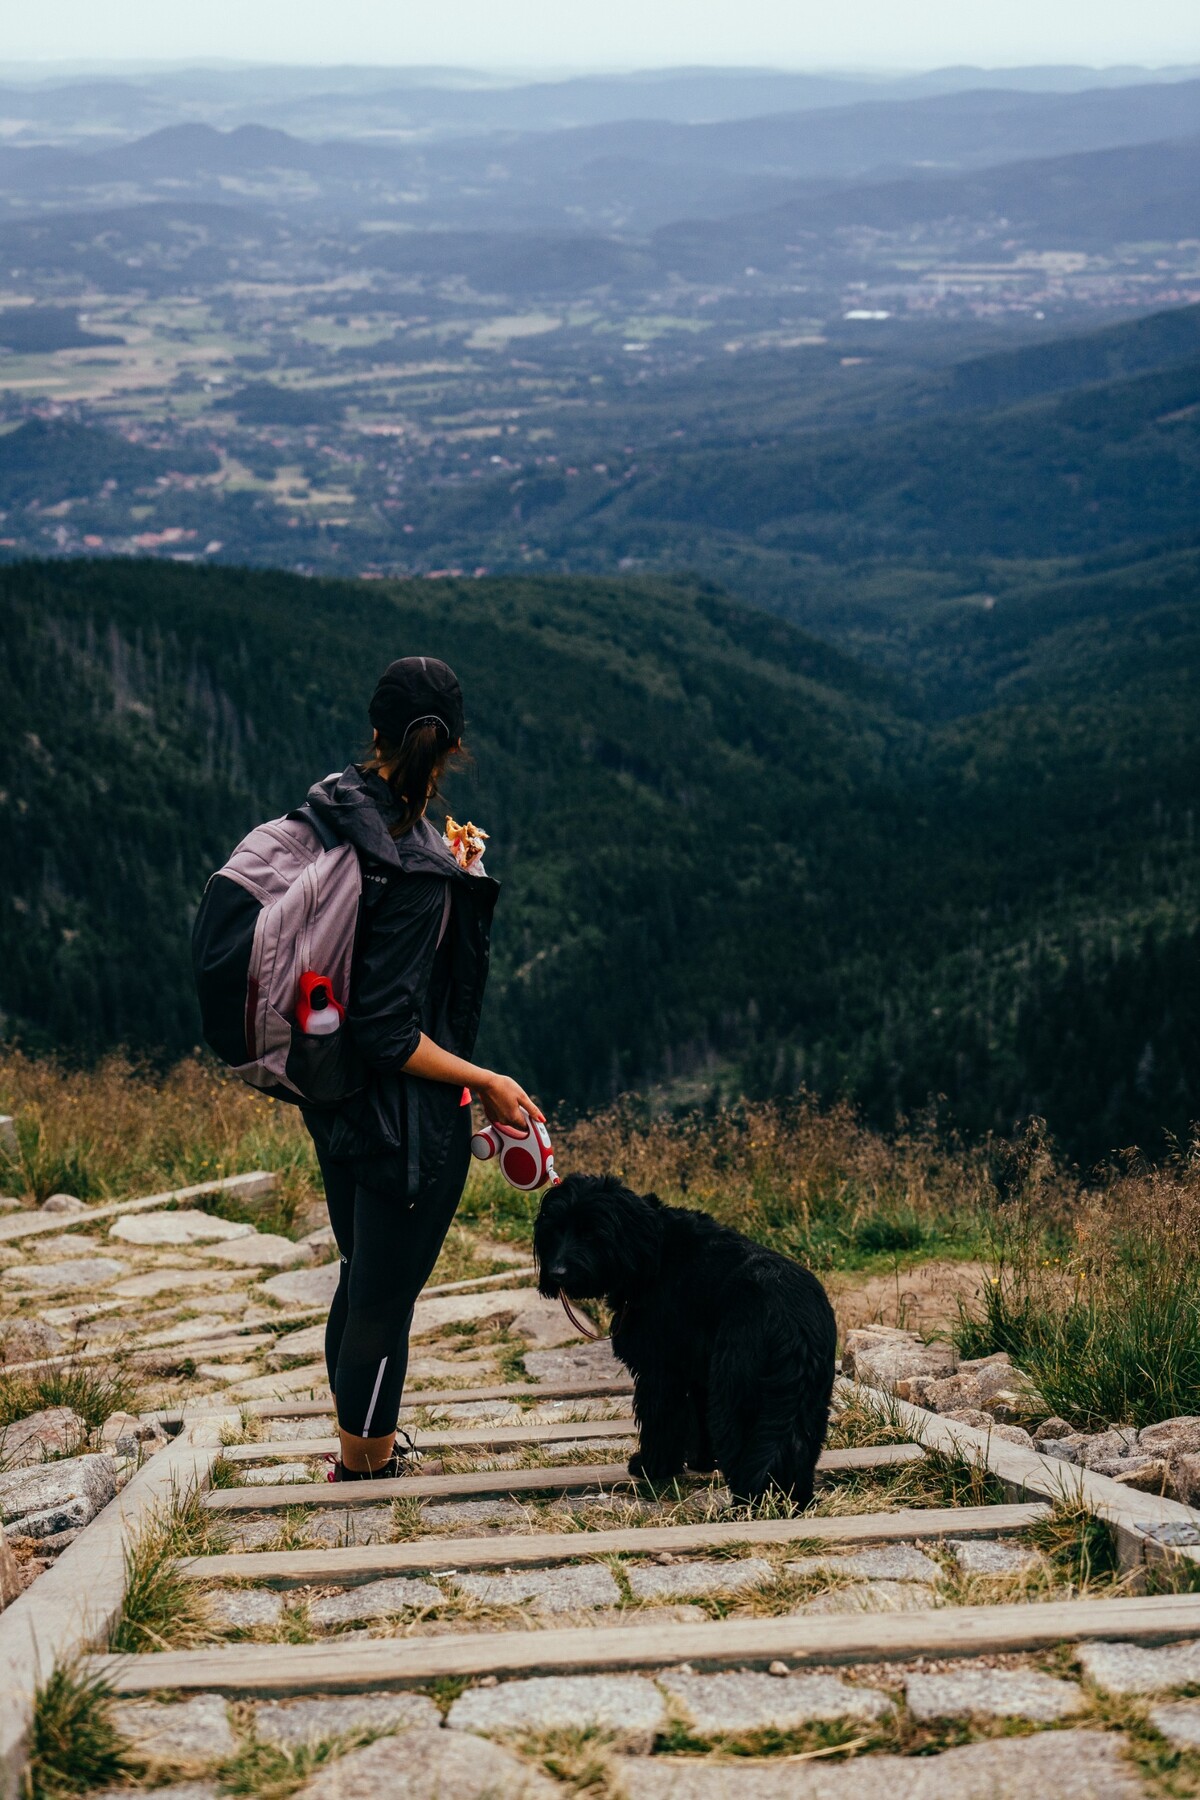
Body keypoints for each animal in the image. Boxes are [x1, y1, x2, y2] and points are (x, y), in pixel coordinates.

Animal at [536, 1180, 834, 1504]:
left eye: (591, 1233)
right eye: (553, 1230)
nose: (557, 1273)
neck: (652, 1248)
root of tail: (792, 1322)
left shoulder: (660, 1371)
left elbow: (660, 1421)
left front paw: (652, 1467)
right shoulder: (699, 1372)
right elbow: (699, 1420)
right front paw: (701, 1462)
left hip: (739, 1393)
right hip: (804, 1400)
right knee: (792, 1446)